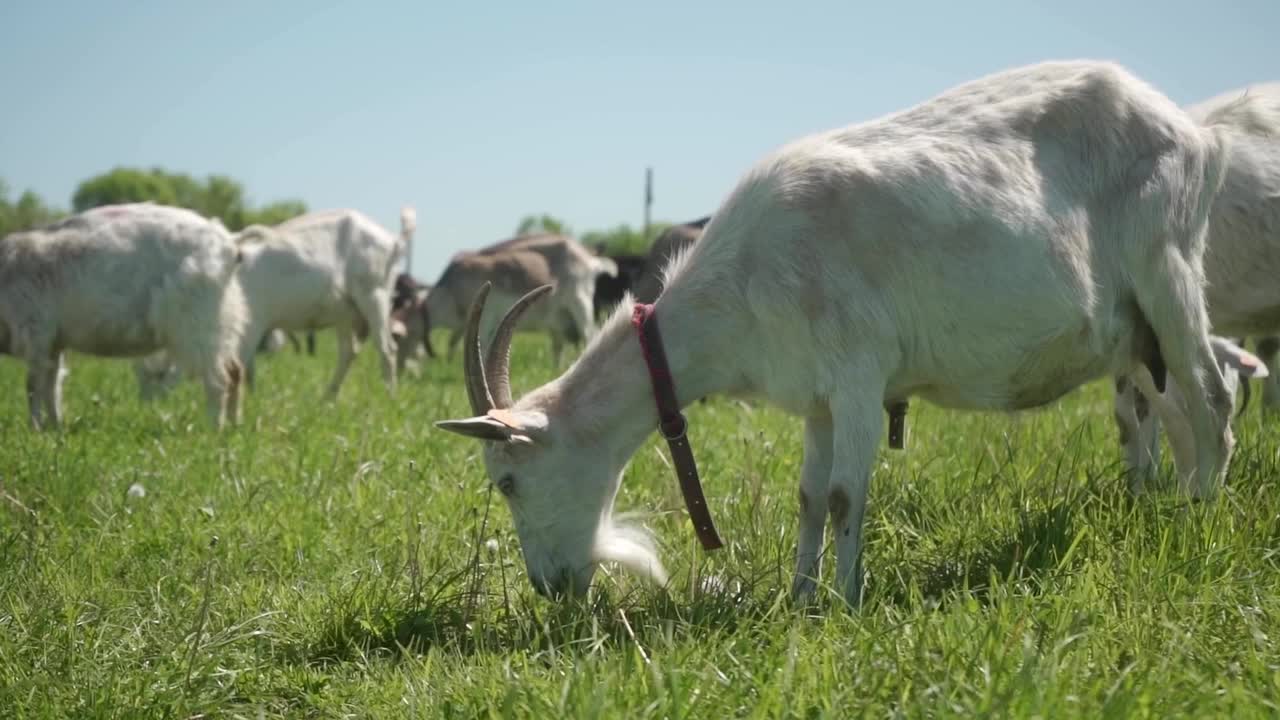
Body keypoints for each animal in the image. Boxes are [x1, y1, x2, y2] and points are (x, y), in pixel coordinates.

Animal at [0, 202, 247, 425]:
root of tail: (230, 243)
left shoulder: (36, 334)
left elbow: (33, 386)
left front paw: (35, 430)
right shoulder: (53, 342)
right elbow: (51, 387)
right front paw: (54, 428)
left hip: (197, 324)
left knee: (218, 380)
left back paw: (213, 429)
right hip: (222, 322)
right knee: (235, 371)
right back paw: (233, 425)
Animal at [435, 60, 1233, 604]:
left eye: (506, 480)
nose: (548, 587)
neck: (746, 279)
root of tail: (1194, 134)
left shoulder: (857, 377)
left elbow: (848, 495)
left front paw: (845, 604)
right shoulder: (816, 399)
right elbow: (810, 498)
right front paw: (799, 595)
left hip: (1168, 271)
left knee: (1214, 397)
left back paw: (1203, 519)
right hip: (1134, 332)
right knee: (1175, 410)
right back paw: (1177, 503)